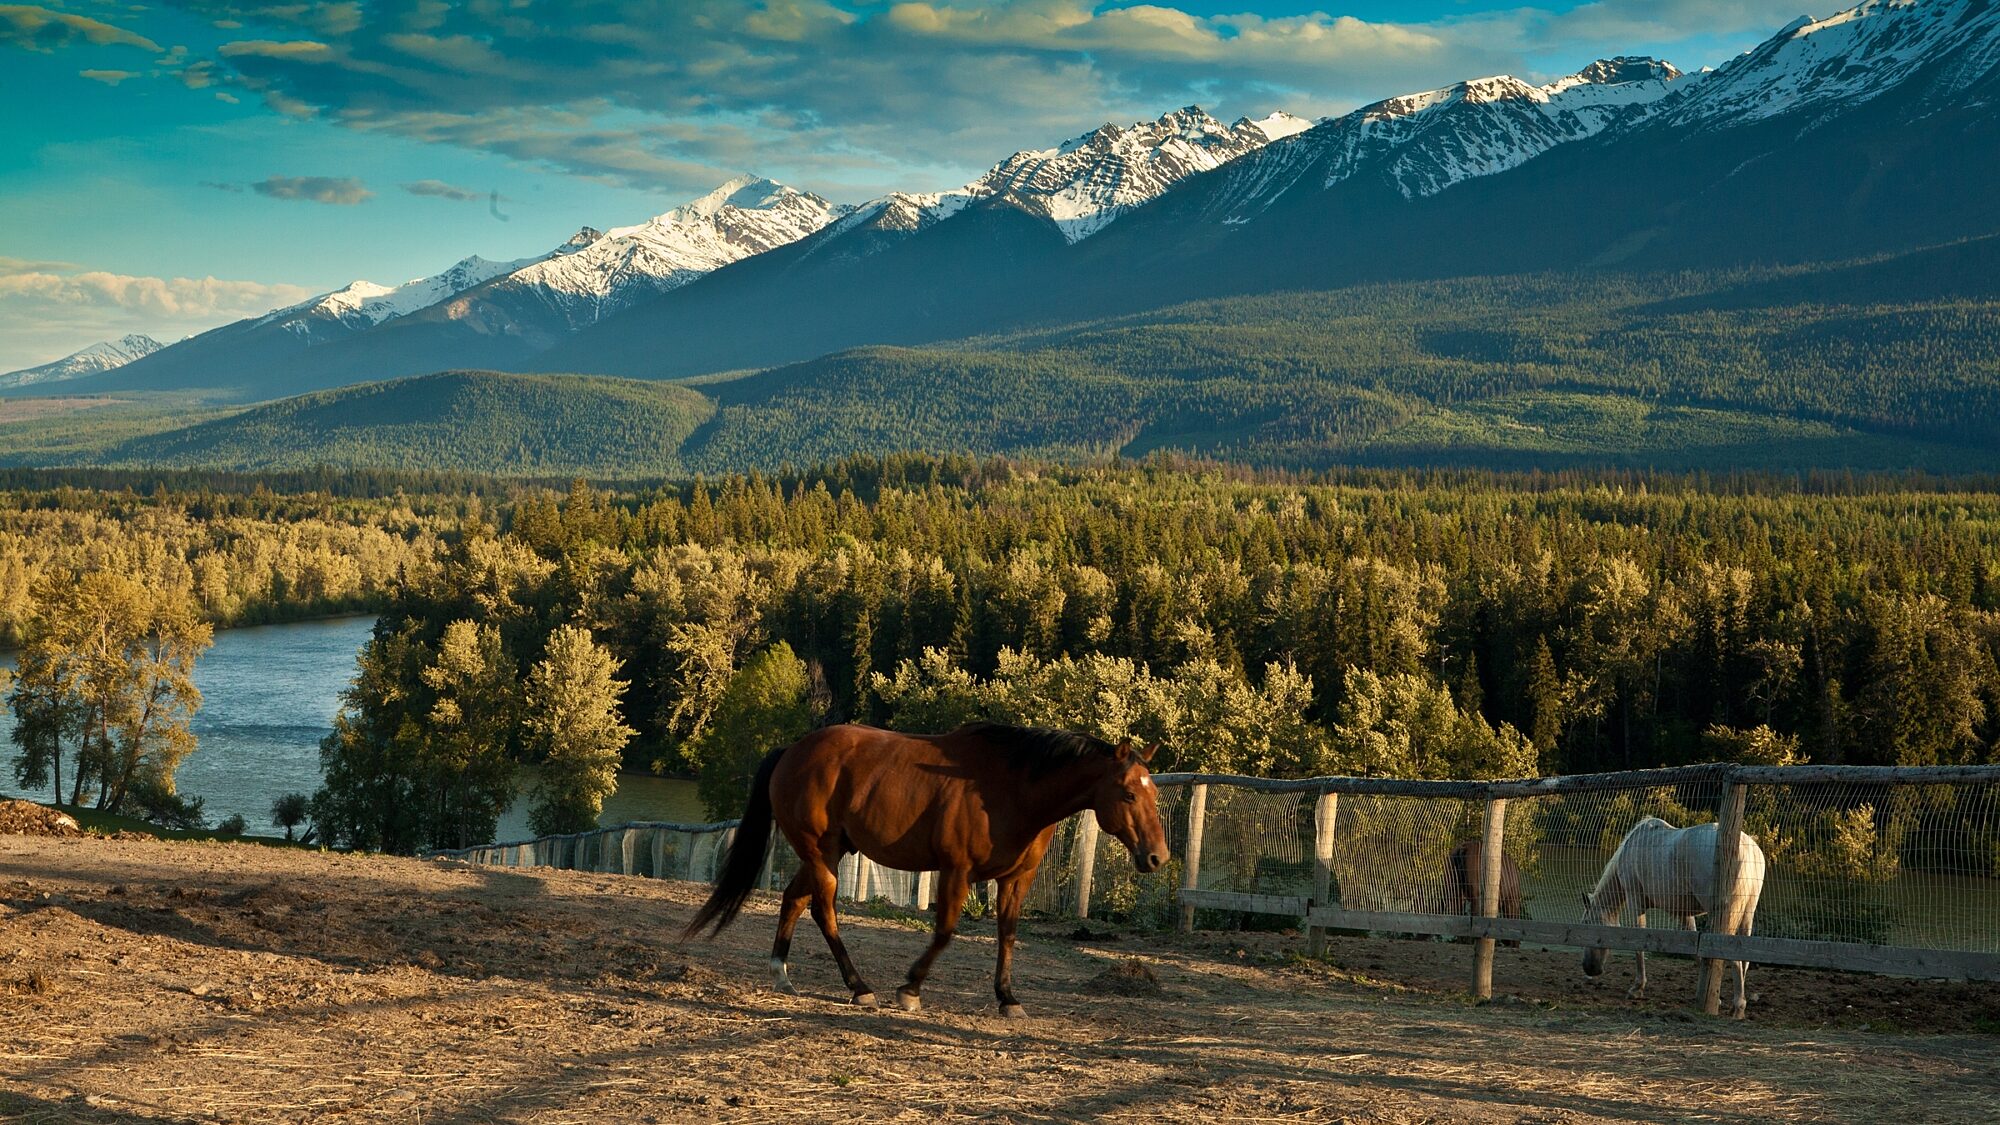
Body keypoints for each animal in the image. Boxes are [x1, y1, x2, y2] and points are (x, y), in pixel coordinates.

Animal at [682, 722, 1169, 1018]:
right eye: (1128, 793)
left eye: (1154, 793)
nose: (1157, 857)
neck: (1011, 788)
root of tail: (792, 751)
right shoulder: (956, 870)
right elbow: (945, 932)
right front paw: (910, 989)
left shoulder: (1016, 879)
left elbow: (1008, 935)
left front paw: (1007, 998)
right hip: (820, 852)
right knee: (823, 909)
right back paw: (859, 986)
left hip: (828, 853)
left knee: (795, 899)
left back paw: (781, 973)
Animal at [1580, 816, 1767, 1018]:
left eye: (1587, 924)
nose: (1589, 968)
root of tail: (1747, 848)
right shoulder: (1683, 913)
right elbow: (1696, 951)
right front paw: (1713, 997)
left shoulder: (1635, 900)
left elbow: (1639, 944)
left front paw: (1637, 989)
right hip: (1747, 914)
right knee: (1743, 958)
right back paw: (1736, 1004)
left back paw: (1738, 1007)